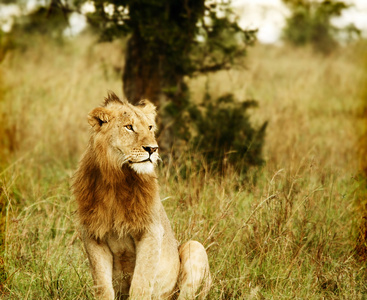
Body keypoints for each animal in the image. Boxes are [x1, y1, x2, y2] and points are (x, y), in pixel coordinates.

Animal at [73, 92, 211, 298]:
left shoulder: (151, 231)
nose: (152, 149)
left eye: (150, 127)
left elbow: (141, 282)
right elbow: (103, 286)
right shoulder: (93, 235)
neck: (116, 178)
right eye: (129, 127)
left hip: (195, 247)